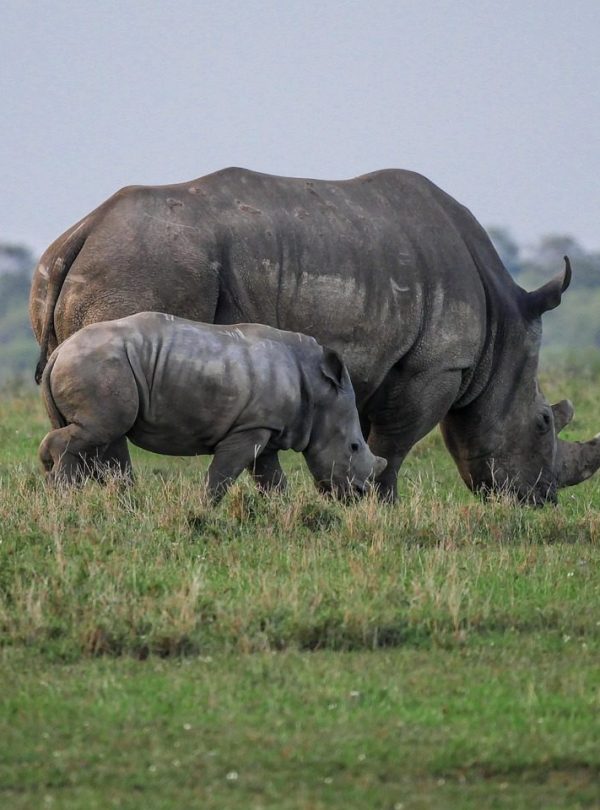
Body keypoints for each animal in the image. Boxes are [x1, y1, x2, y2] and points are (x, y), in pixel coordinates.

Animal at [38, 312, 386, 500]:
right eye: (354, 446)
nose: (359, 495)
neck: (318, 390)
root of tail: (60, 351)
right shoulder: (249, 428)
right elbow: (222, 475)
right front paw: (203, 510)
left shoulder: (265, 427)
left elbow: (272, 480)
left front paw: (285, 512)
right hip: (98, 365)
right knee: (101, 430)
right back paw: (65, 495)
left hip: (93, 364)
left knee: (98, 438)